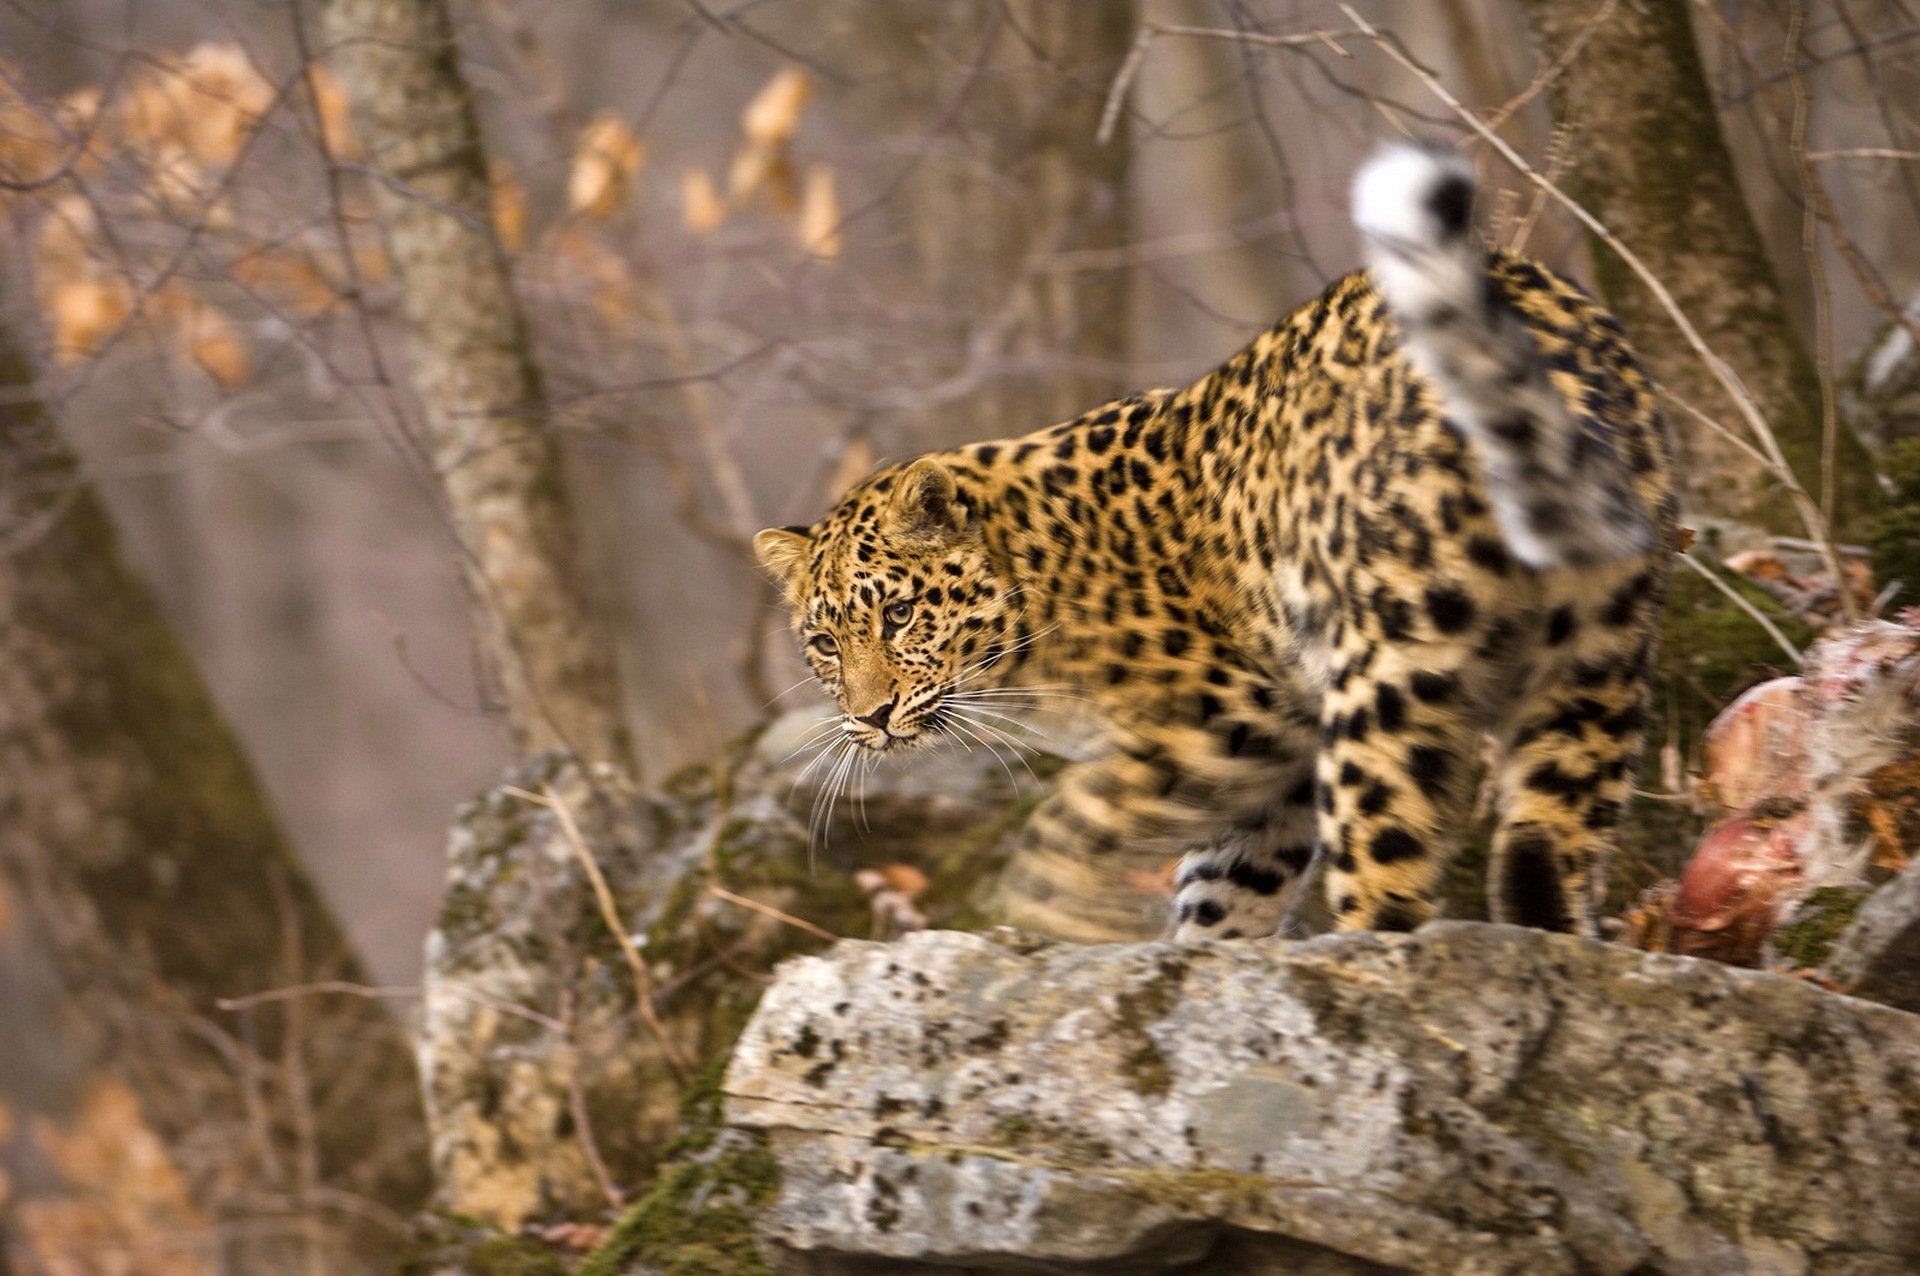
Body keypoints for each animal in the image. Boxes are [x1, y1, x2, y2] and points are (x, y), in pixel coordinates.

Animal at [748, 146, 1666, 944]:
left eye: (900, 615)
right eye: (825, 644)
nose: (871, 717)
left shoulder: (1233, 712)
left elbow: (1079, 822)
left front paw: (1051, 911)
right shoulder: (1270, 762)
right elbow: (1228, 881)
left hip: (1390, 673)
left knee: (1388, 877)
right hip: (1596, 653)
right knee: (1549, 842)